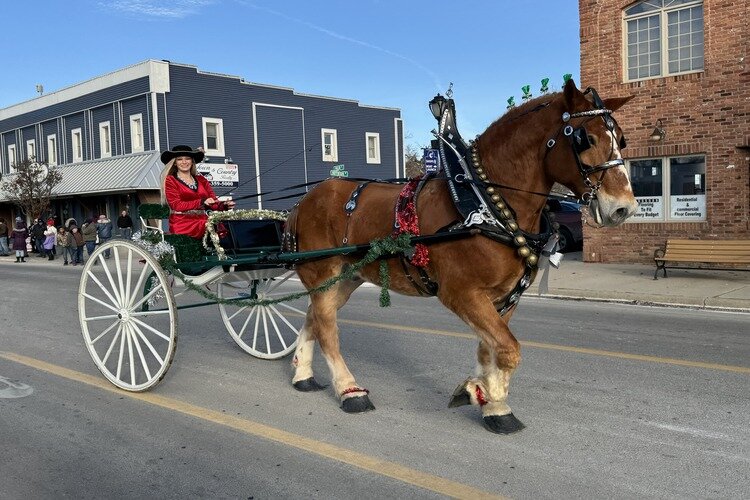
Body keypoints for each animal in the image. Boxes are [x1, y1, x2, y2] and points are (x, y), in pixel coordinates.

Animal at [285, 79, 637, 434]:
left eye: (621, 139)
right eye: (585, 138)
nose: (624, 208)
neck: (486, 203)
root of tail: (303, 201)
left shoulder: (504, 298)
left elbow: (491, 349)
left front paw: (488, 399)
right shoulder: (460, 292)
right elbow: (509, 349)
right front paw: (486, 395)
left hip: (344, 279)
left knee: (316, 317)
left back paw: (303, 374)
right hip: (324, 273)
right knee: (328, 329)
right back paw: (350, 390)